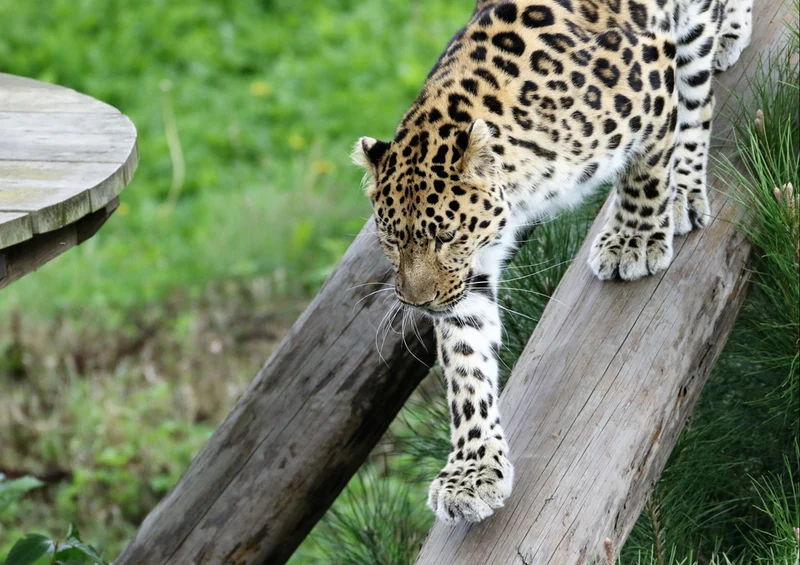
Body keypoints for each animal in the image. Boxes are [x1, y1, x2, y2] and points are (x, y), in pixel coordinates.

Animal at [353, 0, 752, 524]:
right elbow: (467, 368)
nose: (417, 303)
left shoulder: (649, 74)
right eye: (391, 242)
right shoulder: (470, 277)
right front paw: (472, 472)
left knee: (697, 93)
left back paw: (686, 178)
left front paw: (635, 237)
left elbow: (648, 165)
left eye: (445, 235)